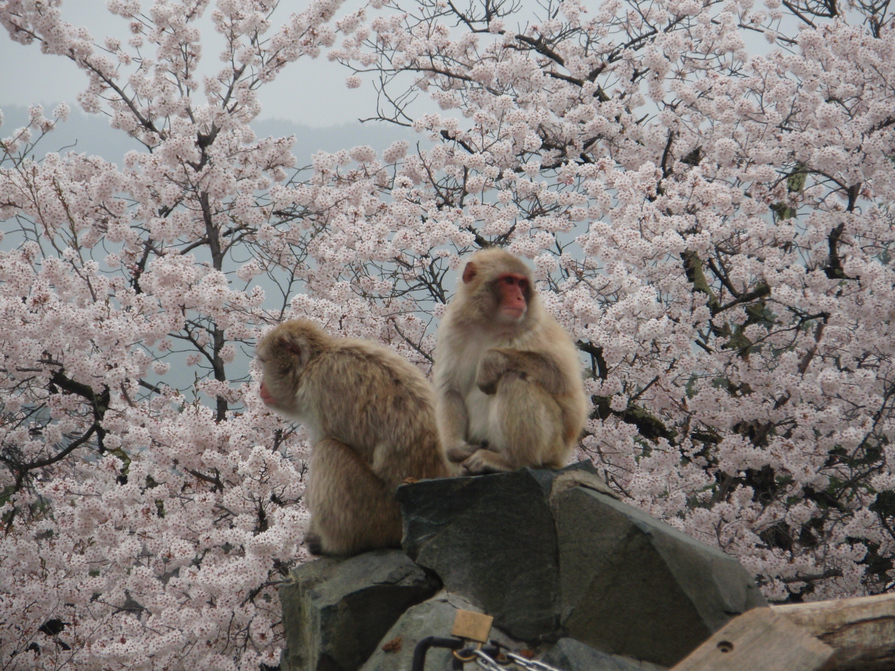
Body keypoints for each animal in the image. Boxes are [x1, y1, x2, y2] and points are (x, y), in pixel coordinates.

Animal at [256, 320, 452, 556]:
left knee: (328, 451)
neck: (315, 360)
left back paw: (334, 546)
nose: (261, 386)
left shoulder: (320, 387)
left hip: (375, 515)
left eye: (264, 363)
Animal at [434, 248, 588, 478]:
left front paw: (491, 359)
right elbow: (450, 389)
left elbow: (563, 378)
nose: (519, 298)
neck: (490, 324)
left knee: (515, 380)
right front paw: (456, 451)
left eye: (521, 284)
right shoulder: (452, 328)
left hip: (553, 445)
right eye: (508, 281)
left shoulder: (535, 326)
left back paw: (512, 462)